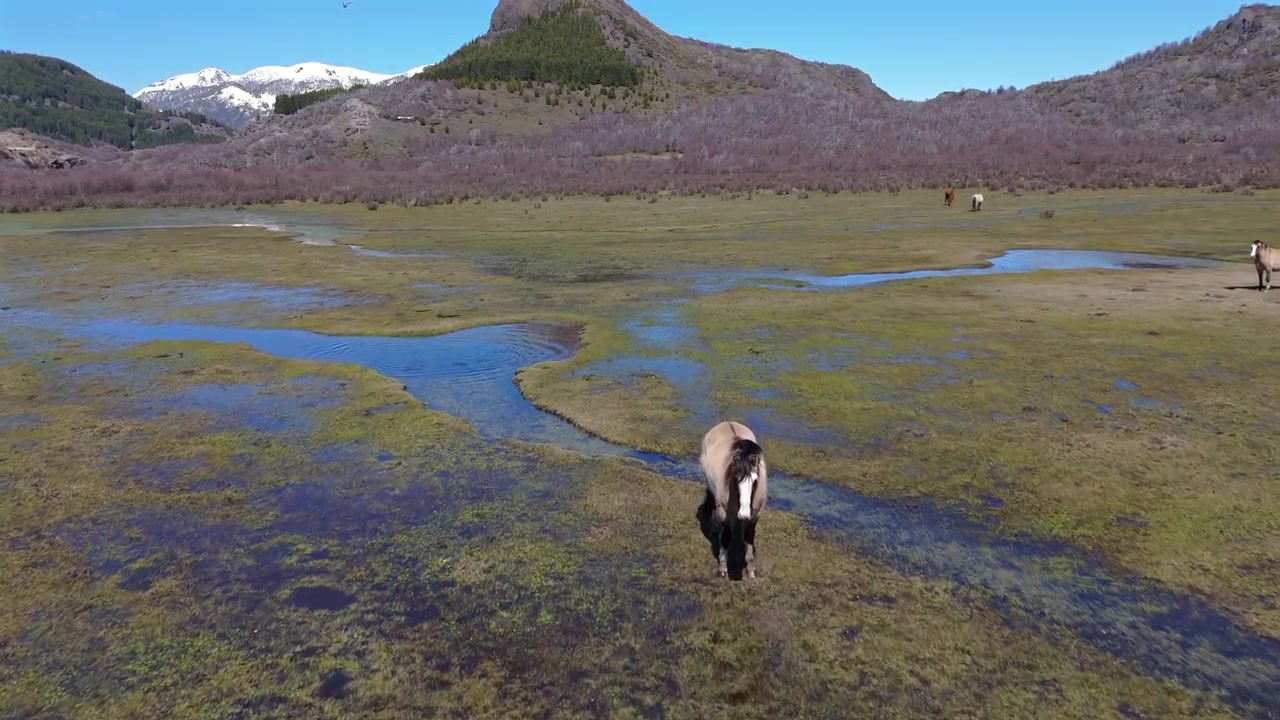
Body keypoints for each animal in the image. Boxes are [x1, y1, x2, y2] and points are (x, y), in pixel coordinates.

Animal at [699, 420, 768, 579]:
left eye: (755, 480)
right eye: (736, 478)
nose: (744, 514)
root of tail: (726, 423)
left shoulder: (755, 516)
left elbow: (749, 538)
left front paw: (751, 571)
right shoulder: (724, 514)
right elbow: (726, 538)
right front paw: (723, 569)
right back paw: (714, 528)